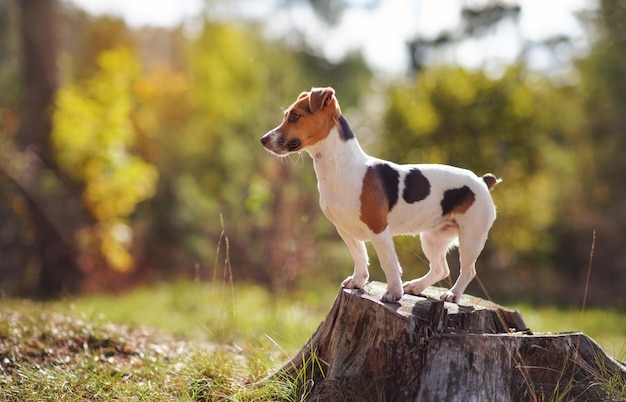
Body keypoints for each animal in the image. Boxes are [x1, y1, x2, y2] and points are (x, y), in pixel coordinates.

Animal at [258, 87, 498, 302]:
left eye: (295, 116)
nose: (263, 139)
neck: (340, 166)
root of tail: (482, 180)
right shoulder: (345, 229)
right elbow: (359, 256)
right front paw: (358, 281)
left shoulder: (379, 229)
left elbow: (388, 263)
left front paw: (393, 293)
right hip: (434, 237)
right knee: (441, 268)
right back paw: (416, 286)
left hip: (471, 238)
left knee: (467, 271)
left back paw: (453, 295)